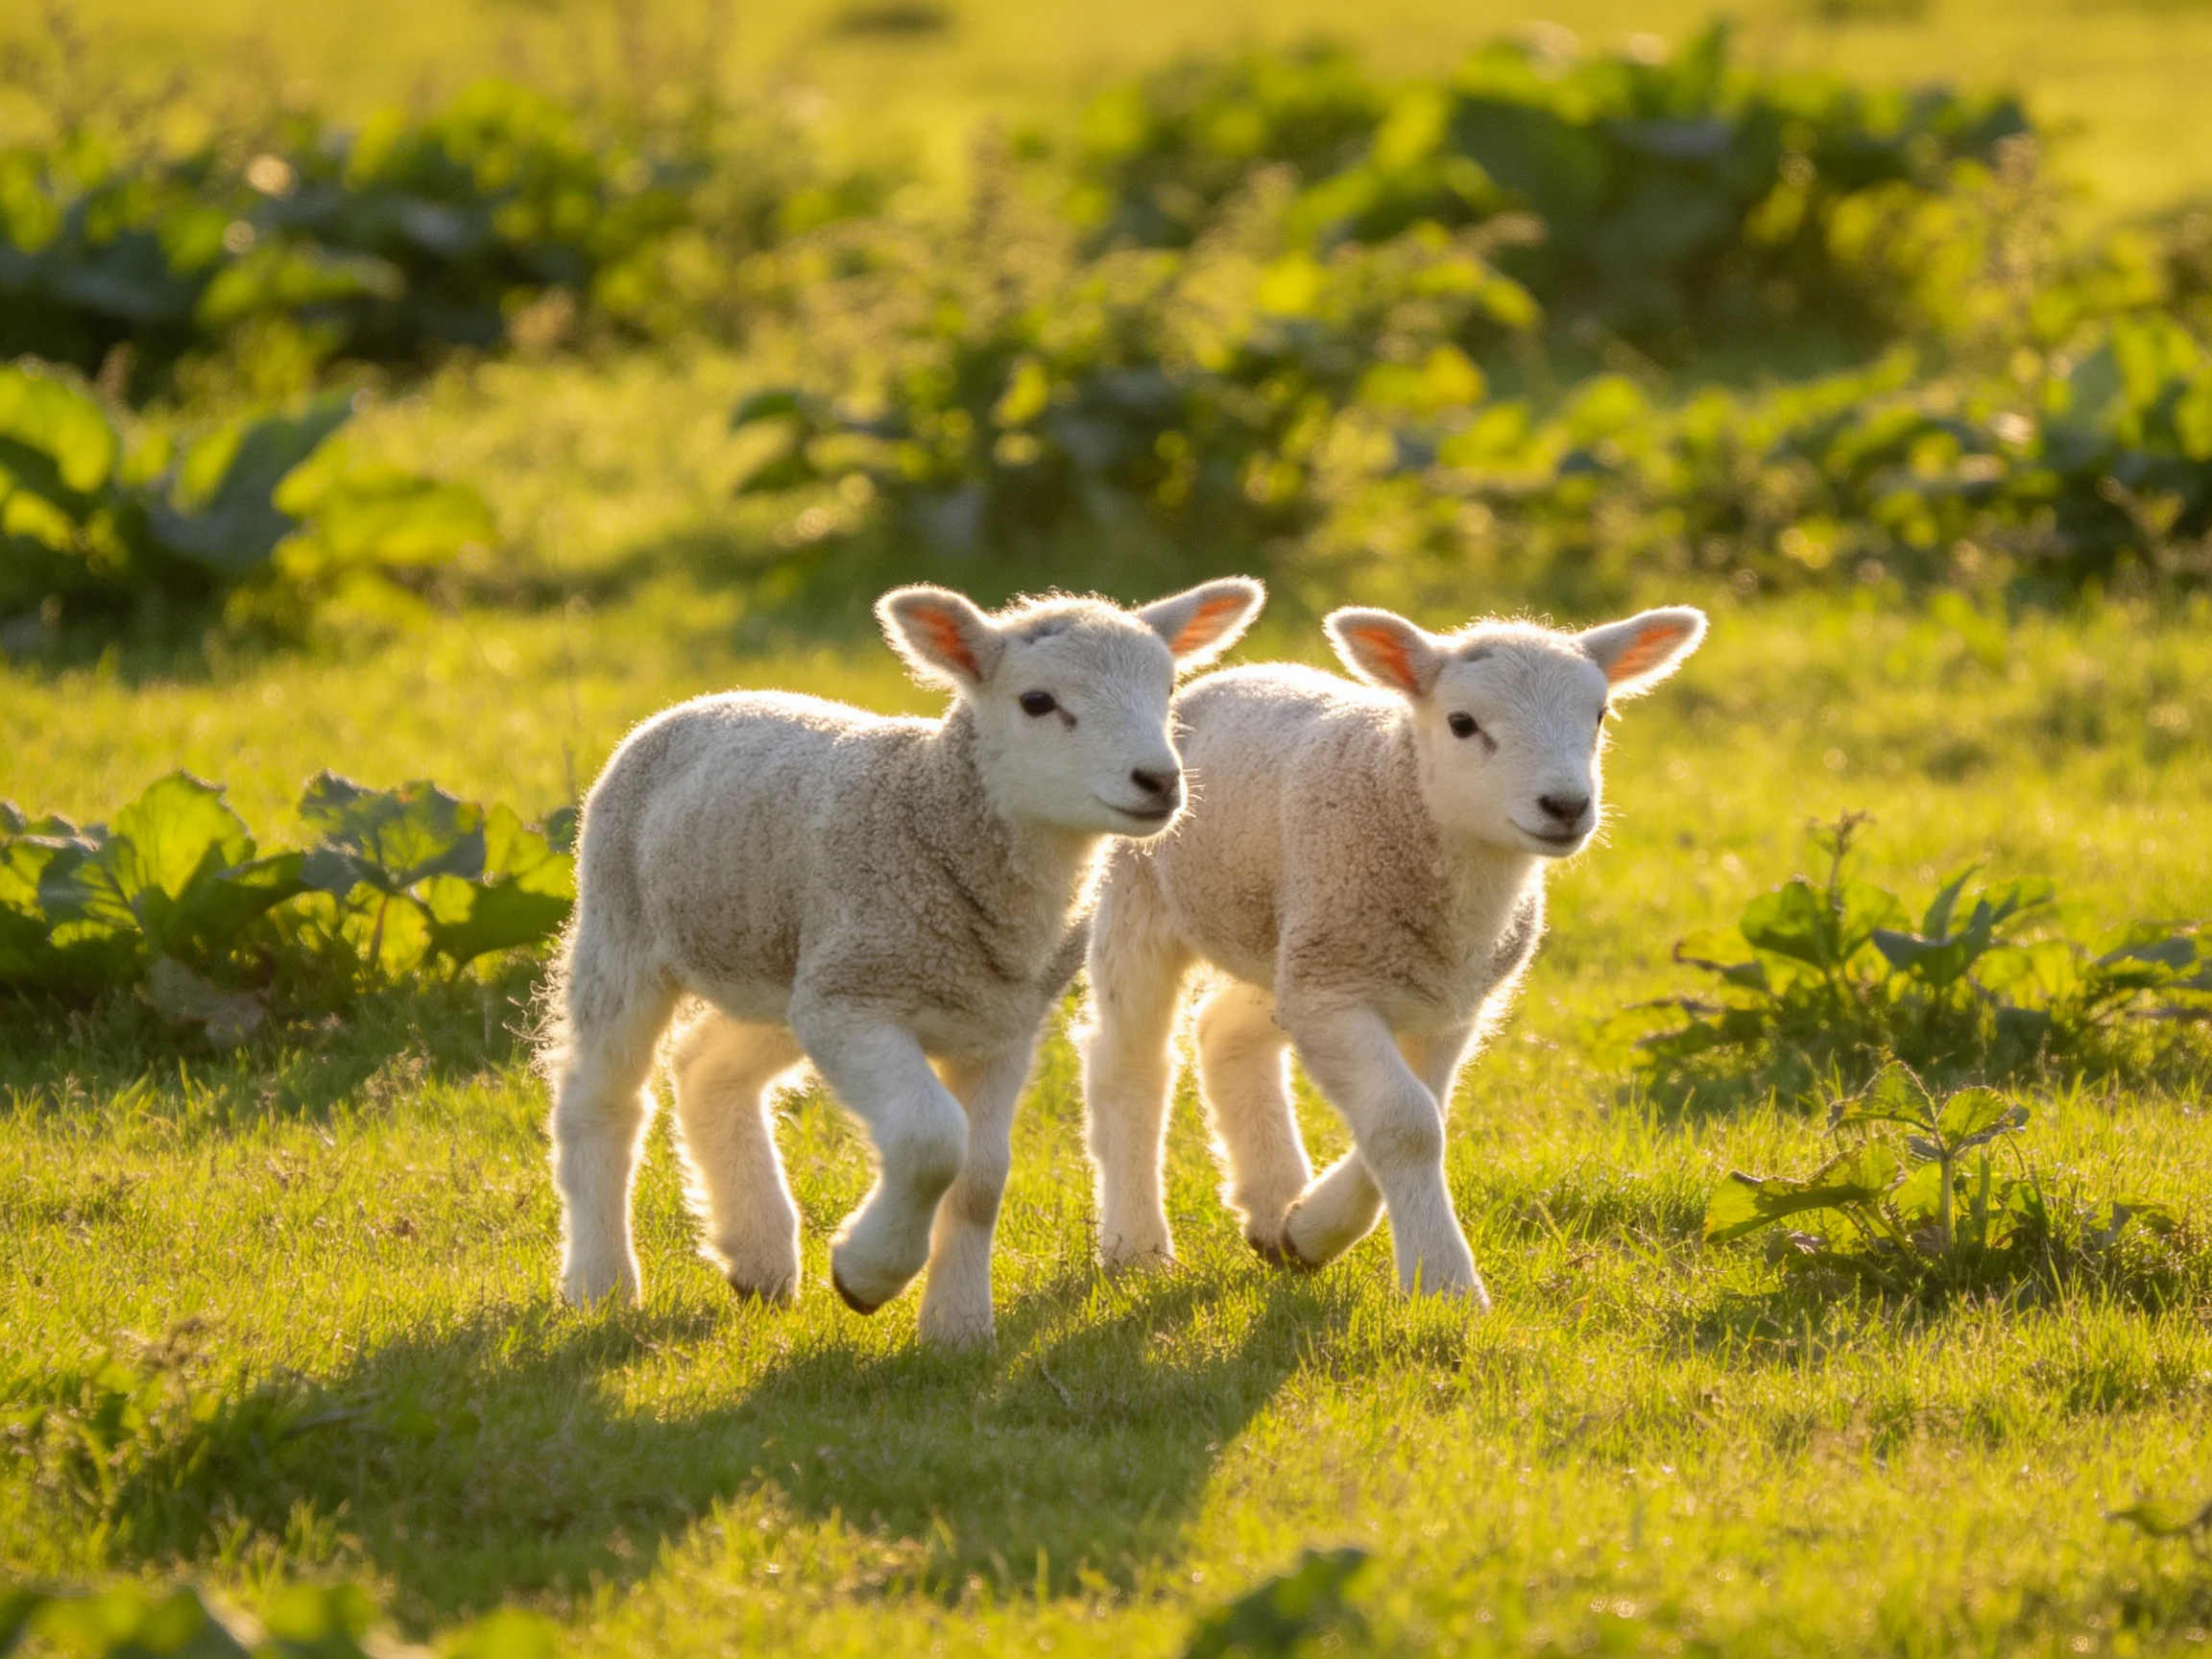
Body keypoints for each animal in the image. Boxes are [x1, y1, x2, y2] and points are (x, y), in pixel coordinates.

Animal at [541, 577, 1265, 1347]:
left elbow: (980, 1178)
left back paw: (758, 1257)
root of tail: (708, 700)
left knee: (707, 1066)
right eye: (1037, 701)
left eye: (1168, 689)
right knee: (602, 1102)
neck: (933, 818)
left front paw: (957, 1328)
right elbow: (931, 1141)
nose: (1158, 781)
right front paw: (866, 1274)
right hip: (623, 925)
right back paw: (601, 1285)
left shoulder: (995, 1027)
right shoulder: (857, 1004)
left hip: (788, 971)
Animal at [1079, 603, 1706, 1303]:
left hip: (1283, 937)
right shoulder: (1335, 992)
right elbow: (1408, 1124)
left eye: (1599, 715)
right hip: (1144, 897)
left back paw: (1271, 1204)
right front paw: (1446, 1285)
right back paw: (1136, 1248)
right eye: (1462, 723)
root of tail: (1227, 676)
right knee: (1130, 1066)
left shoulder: (1445, 1004)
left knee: (1224, 1029)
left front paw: (1307, 1232)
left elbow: (1422, 1115)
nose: (1567, 806)